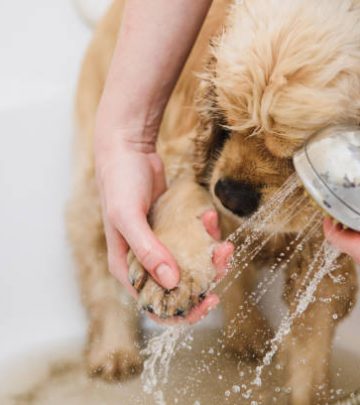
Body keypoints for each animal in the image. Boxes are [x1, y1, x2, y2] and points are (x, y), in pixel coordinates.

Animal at [66, 1, 358, 402]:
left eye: (295, 153)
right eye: (227, 118)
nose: (230, 196)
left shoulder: (324, 252)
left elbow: (310, 343)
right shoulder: (187, 152)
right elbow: (184, 195)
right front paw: (170, 280)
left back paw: (248, 337)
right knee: (98, 260)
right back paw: (114, 352)